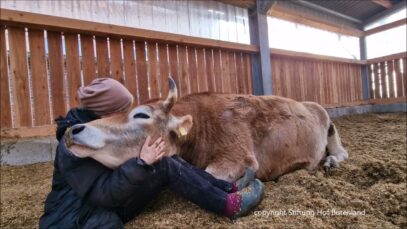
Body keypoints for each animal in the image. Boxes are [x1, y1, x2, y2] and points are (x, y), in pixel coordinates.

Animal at [65, 78, 350, 182]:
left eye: (141, 114)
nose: (73, 130)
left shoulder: (239, 156)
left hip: (331, 127)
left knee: (342, 153)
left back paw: (331, 162)